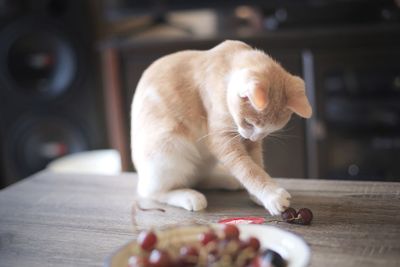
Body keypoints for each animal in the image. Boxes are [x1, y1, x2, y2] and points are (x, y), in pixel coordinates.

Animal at [131, 39, 312, 216]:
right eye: (249, 123)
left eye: (268, 131)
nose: (253, 137)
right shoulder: (223, 138)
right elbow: (247, 169)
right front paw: (271, 195)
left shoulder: (249, 143)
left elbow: (256, 164)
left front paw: (259, 195)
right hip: (168, 150)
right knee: (152, 192)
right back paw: (188, 196)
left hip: (200, 162)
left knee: (198, 178)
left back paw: (227, 180)